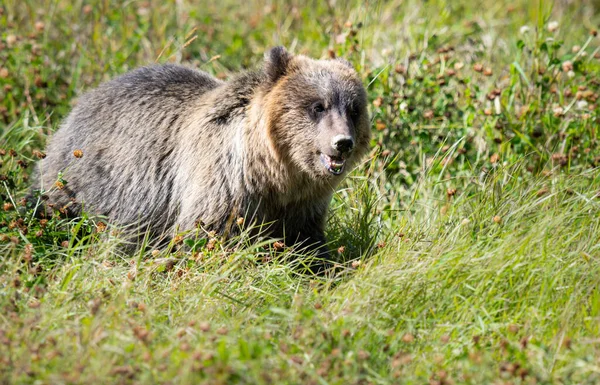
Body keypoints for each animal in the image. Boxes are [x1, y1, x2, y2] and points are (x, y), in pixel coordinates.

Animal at [34, 45, 370, 260]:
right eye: (318, 106)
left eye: (354, 110)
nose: (342, 142)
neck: (275, 174)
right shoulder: (224, 183)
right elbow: (206, 237)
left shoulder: (303, 204)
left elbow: (308, 243)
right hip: (87, 183)